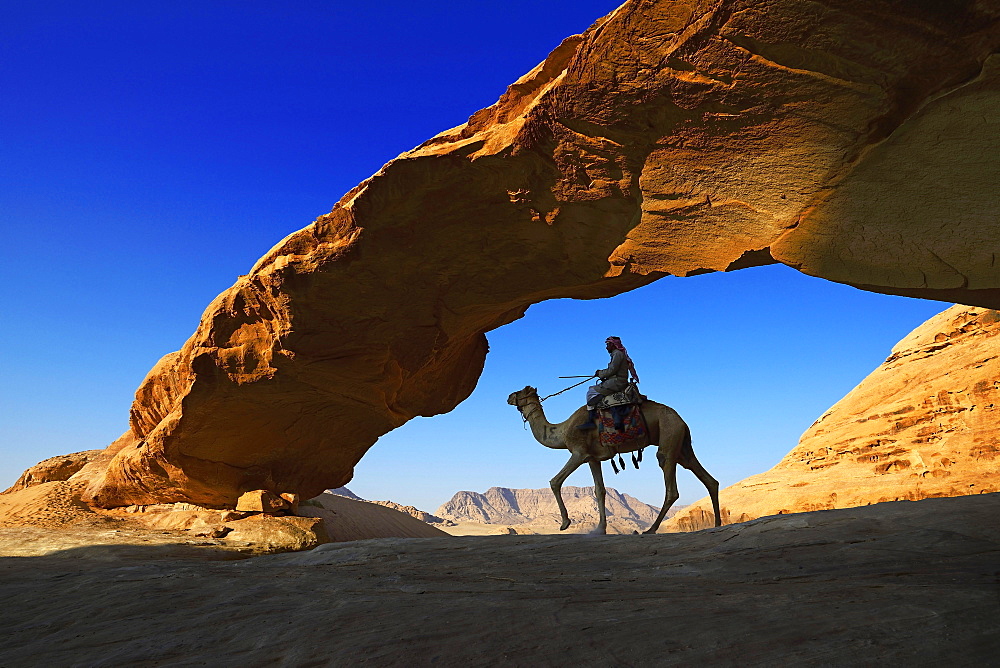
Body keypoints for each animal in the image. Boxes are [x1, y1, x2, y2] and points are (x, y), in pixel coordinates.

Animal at [504, 386, 724, 532]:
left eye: (521, 392)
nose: (508, 396)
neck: (563, 430)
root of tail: (682, 420)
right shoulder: (592, 458)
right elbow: (599, 490)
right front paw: (600, 529)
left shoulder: (578, 452)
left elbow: (555, 481)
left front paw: (565, 523)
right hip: (682, 444)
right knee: (707, 478)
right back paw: (716, 524)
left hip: (669, 435)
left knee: (671, 485)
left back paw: (650, 530)